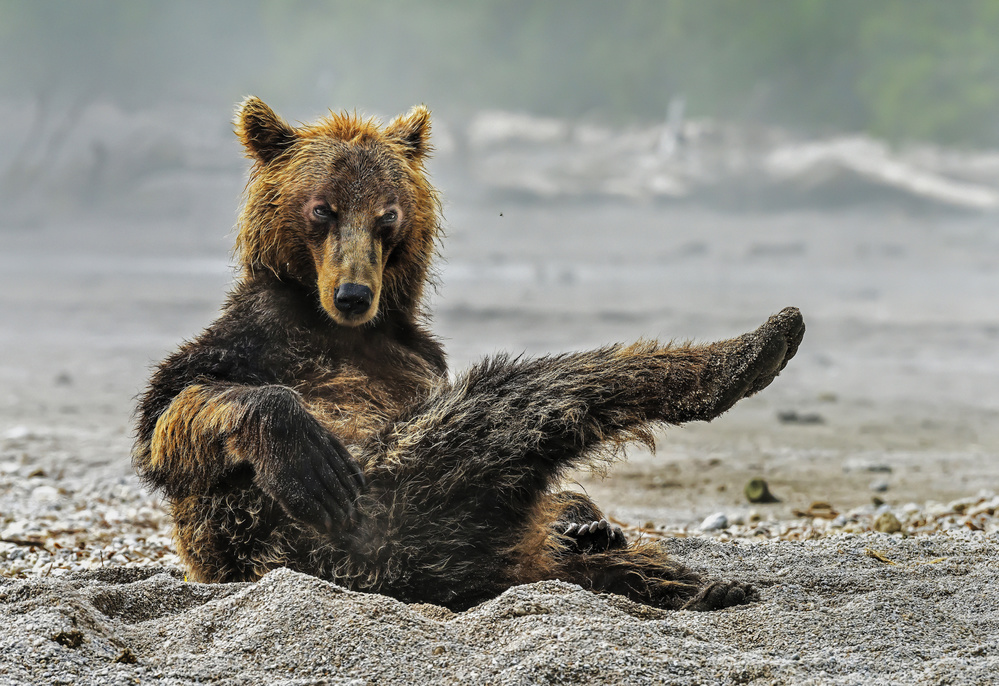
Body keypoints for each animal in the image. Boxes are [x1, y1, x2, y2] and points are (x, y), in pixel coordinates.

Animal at [132, 97, 805, 612]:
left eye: (387, 215)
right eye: (322, 208)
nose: (354, 293)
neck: (344, 330)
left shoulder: (419, 360)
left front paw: (590, 522)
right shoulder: (258, 335)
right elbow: (174, 410)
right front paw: (301, 451)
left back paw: (673, 567)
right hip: (386, 510)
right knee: (530, 392)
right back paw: (750, 356)